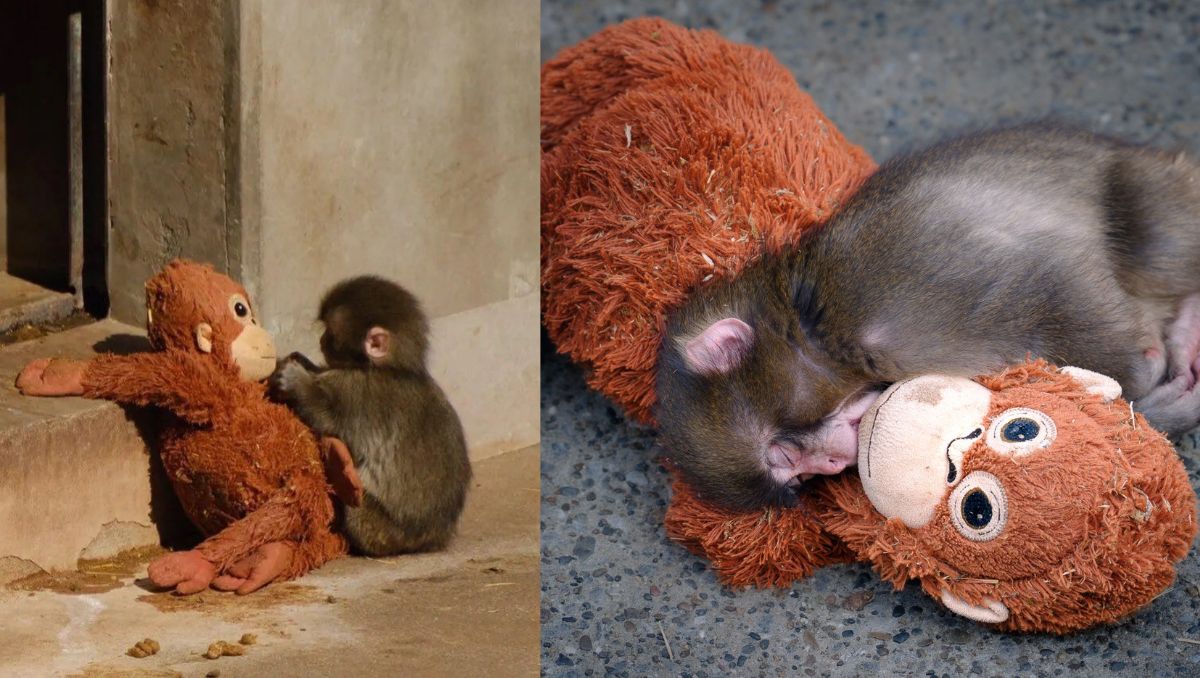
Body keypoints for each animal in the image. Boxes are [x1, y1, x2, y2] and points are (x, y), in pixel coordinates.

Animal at [269, 276, 472, 556]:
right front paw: (304, 363)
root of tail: (430, 540)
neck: (392, 368)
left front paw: (296, 380)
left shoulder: (357, 392)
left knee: (356, 506)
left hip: (379, 530)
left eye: (330, 333)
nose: (321, 340)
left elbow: (327, 418)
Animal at [656, 122, 1200, 510]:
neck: (817, 330)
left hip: (1152, 191)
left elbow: (1050, 278)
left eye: (785, 455)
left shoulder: (885, 303)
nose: (830, 464)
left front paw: (1141, 375)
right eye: (801, 475)